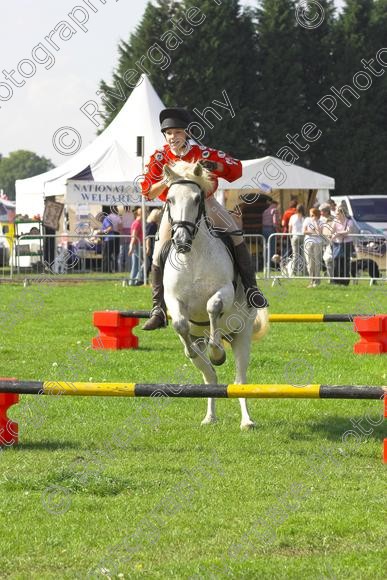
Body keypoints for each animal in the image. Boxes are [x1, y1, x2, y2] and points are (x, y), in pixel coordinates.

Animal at [162, 161, 268, 428]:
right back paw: (209, 417)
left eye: (198, 199)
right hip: (203, 341)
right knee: (210, 377)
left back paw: (246, 421)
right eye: (169, 199)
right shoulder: (173, 299)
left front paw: (217, 351)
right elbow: (180, 323)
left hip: (242, 335)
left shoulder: (225, 291)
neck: (193, 256)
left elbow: (213, 306)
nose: (181, 240)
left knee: (240, 381)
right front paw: (192, 350)